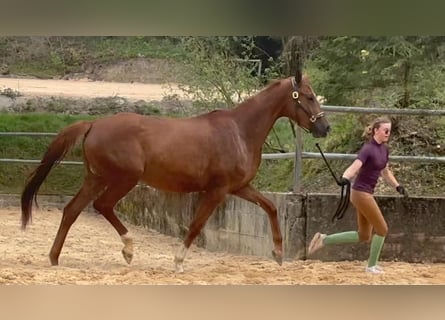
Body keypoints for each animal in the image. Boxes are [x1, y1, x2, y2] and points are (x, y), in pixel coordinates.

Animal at [21, 70, 330, 272]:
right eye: (308, 97)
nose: (324, 128)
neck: (239, 131)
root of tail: (93, 124)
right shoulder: (217, 191)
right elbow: (195, 225)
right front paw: (179, 262)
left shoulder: (239, 187)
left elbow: (271, 207)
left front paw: (278, 253)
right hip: (123, 179)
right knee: (102, 206)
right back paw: (128, 249)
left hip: (96, 178)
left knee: (72, 210)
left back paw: (54, 258)